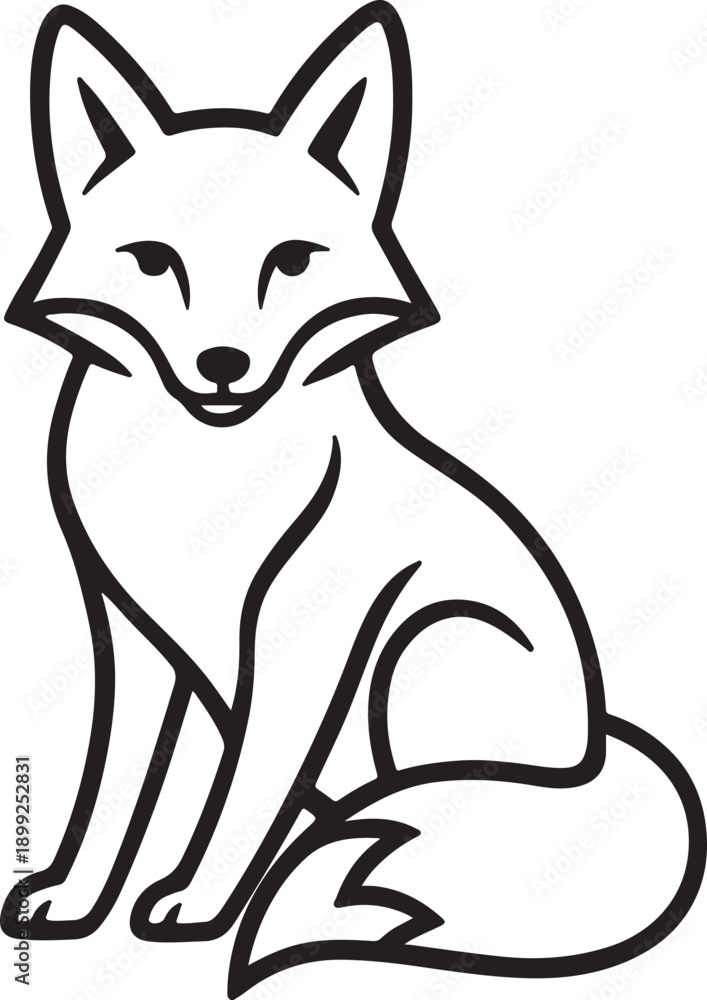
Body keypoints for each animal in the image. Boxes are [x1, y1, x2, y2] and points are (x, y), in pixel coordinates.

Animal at [2, 3, 704, 996]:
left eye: (292, 260)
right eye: (154, 261)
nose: (223, 366)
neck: (211, 470)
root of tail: (595, 754)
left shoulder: (309, 629)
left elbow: (244, 788)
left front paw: (198, 906)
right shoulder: (129, 632)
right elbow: (113, 791)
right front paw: (74, 901)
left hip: (425, 641)